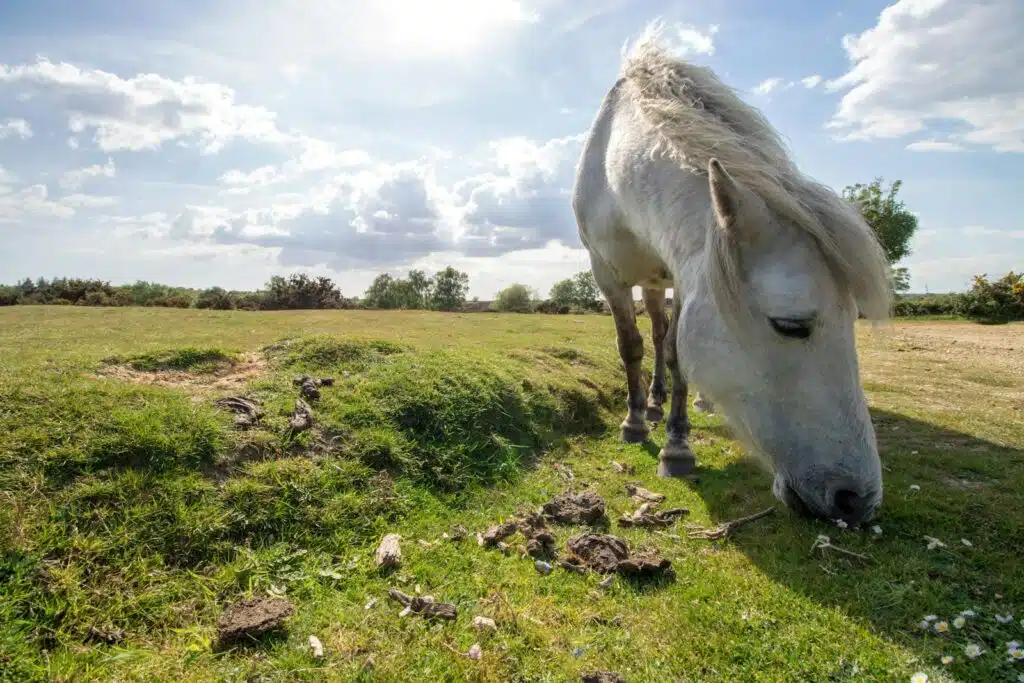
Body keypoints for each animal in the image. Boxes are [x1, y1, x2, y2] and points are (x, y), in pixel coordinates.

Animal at [571, 22, 892, 525]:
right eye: (790, 325)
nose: (857, 500)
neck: (616, 166)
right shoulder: (607, 275)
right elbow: (632, 348)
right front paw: (635, 423)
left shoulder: (687, 274)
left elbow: (678, 355)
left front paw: (677, 446)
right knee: (655, 334)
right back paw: (653, 405)